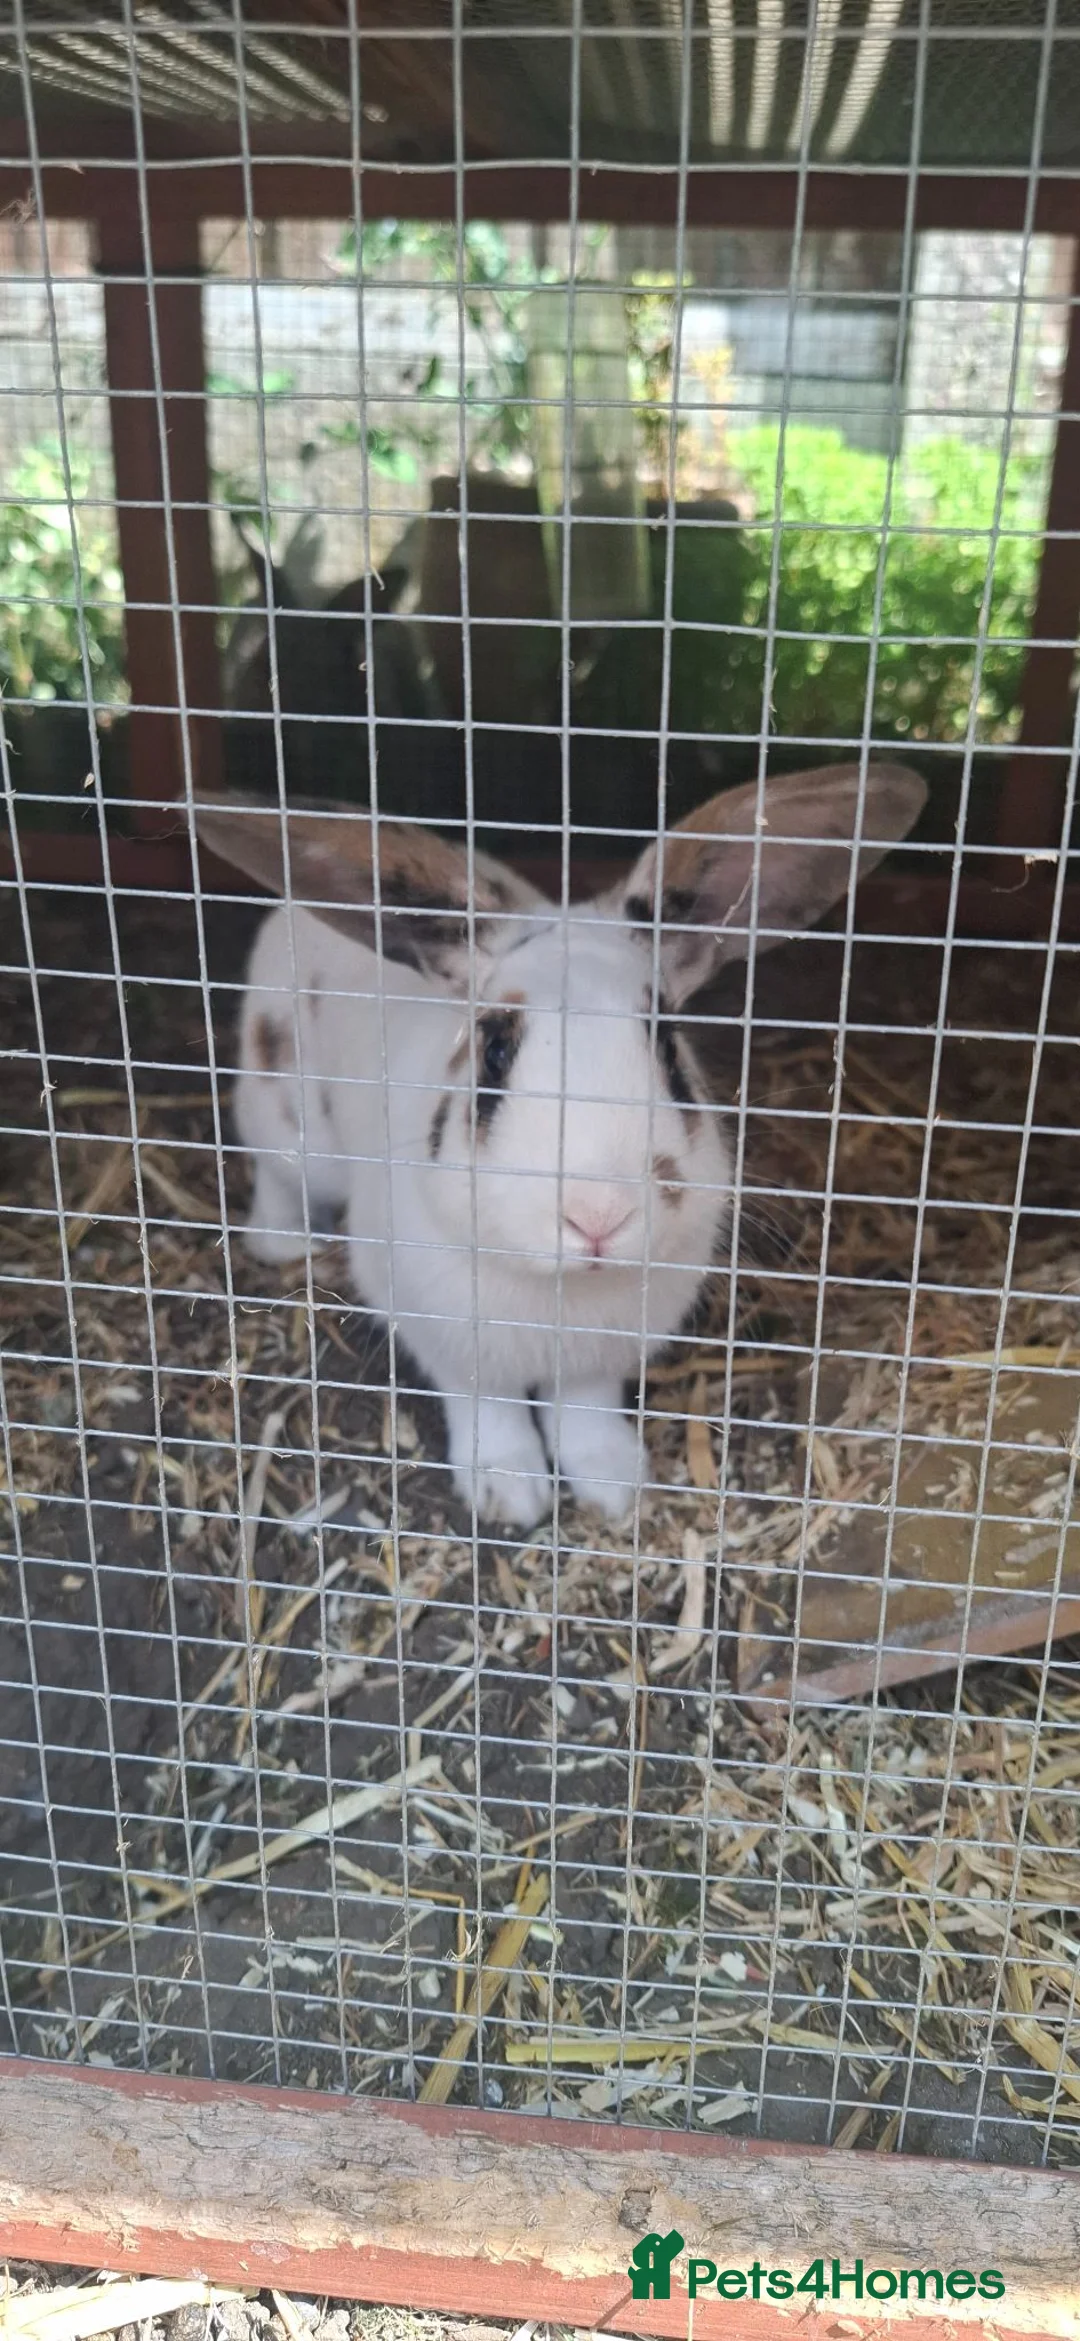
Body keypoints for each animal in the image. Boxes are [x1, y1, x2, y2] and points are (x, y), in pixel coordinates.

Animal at [196, 761, 926, 1530]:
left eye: (668, 1047)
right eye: (493, 1049)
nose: (597, 1215)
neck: (564, 1286)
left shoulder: (599, 1359)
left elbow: (585, 1411)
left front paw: (616, 1485)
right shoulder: (447, 1335)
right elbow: (487, 1408)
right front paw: (509, 1492)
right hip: (285, 1115)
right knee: (279, 1177)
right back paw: (286, 1245)